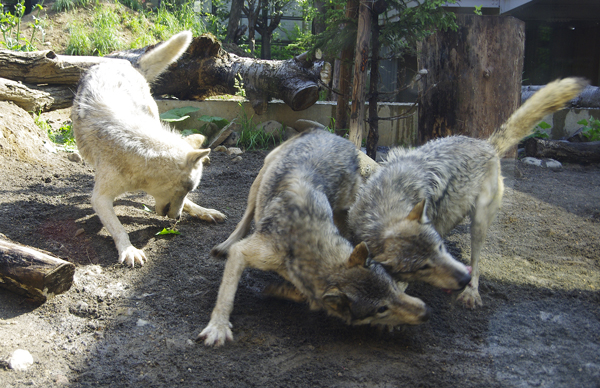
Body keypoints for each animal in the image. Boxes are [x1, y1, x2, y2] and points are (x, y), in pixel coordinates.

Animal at [71, 31, 226, 266]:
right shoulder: (100, 198)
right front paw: (129, 250)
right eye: (185, 189)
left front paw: (202, 211)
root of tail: (126, 63)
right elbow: (118, 228)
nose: (177, 218)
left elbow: (189, 204)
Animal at [199, 129, 428, 348]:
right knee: (247, 216)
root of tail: (332, 134)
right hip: (259, 182)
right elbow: (226, 296)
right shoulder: (245, 253)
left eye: (392, 287)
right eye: (381, 309)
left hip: (344, 209)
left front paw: (279, 290)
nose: (425, 311)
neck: (308, 241)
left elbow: (308, 295)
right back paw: (227, 244)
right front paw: (218, 328)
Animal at [346, 78, 584, 310]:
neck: (386, 201)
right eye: (423, 267)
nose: (463, 280)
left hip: (479, 223)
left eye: (440, 248)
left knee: (476, 263)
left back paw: (471, 294)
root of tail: (487, 144)